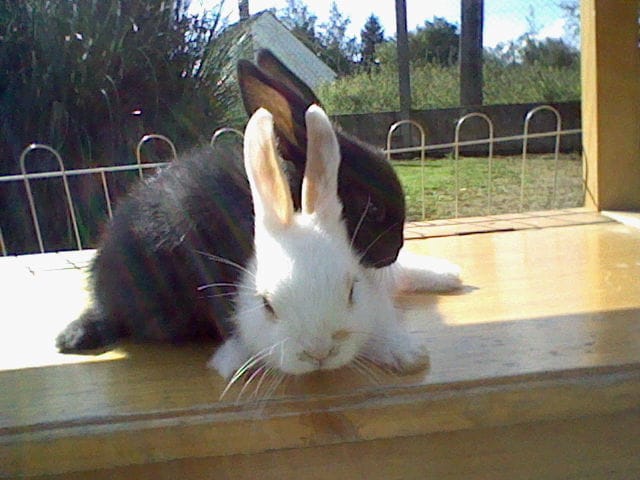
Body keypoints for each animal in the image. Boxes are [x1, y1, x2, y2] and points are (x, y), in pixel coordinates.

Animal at [208, 105, 459, 380]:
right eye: (266, 305)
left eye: (351, 292)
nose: (319, 352)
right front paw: (232, 362)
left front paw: (409, 356)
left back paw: (449, 275)